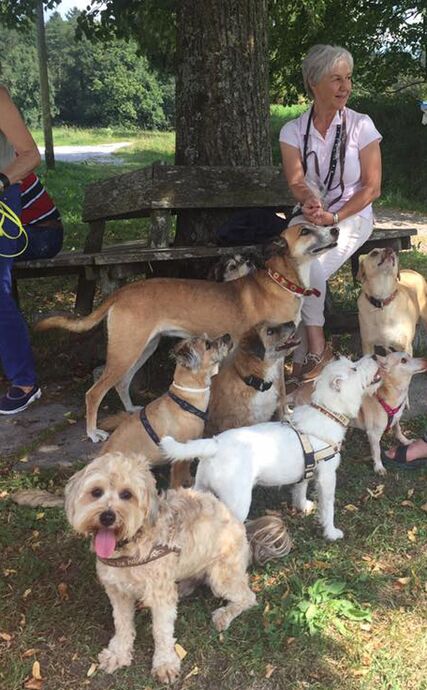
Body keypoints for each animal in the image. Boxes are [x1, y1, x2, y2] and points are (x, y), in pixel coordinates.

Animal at [35, 223, 339, 442]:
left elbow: (283, 390)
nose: (335, 228)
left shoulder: (281, 354)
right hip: (125, 350)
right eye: (305, 230)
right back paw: (92, 433)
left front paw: (287, 414)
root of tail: (123, 292)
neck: (282, 282)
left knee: (122, 383)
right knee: (94, 392)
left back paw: (132, 410)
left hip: (143, 347)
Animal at [65, 452, 256, 684]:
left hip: (222, 576)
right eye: (96, 492)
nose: (107, 516)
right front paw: (118, 653)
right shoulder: (118, 591)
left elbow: (162, 631)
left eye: (126, 494)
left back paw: (224, 614)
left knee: (248, 597)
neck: (131, 546)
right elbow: (122, 623)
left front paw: (164, 663)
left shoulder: (160, 596)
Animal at [101, 334, 232, 488]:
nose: (227, 335)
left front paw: (189, 480)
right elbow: (177, 477)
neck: (185, 400)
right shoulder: (179, 454)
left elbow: (187, 468)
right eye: (207, 345)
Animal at [161, 355, 381, 541]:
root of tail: (214, 445)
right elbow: (328, 506)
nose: (374, 356)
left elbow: (300, 489)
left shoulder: (306, 468)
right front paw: (332, 532)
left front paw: (302, 506)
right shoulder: (327, 476)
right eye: (354, 368)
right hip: (238, 502)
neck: (327, 412)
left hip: (201, 488)